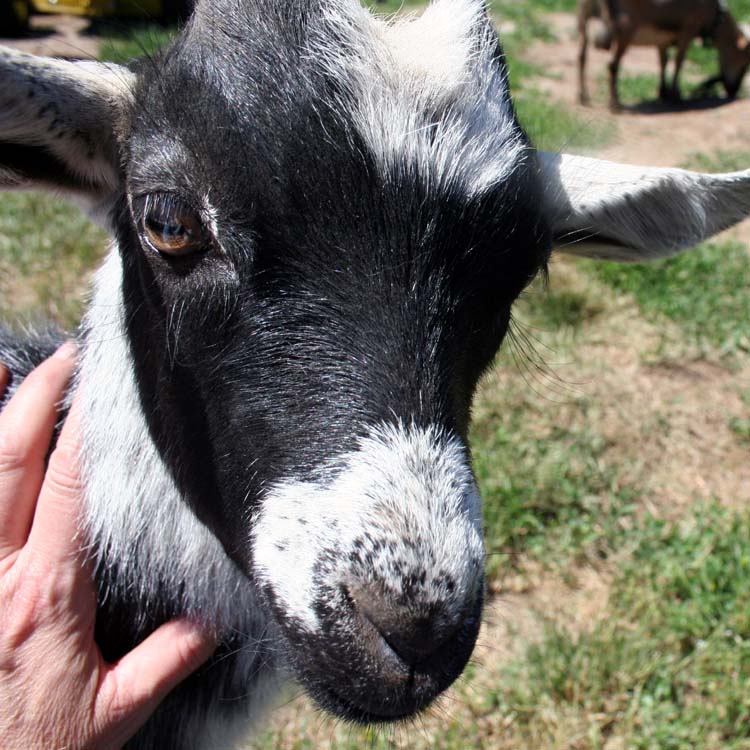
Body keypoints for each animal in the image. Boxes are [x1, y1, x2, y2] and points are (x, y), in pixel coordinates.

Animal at [578, 0, 750, 109]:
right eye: (744, 64)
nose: (733, 90)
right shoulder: (689, 28)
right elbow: (679, 61)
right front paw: (676, 95)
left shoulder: (662, 39)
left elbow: (663, 61)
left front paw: (663, 93)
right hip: (625, 28)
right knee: (612, 64)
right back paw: (615, 103)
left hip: (584, 17)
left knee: (582, 57)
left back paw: (583, 97)